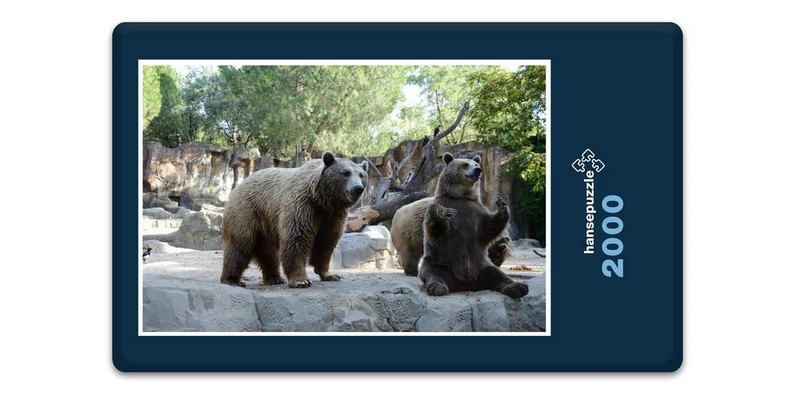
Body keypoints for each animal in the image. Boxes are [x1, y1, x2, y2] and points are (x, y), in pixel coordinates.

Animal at [219, 151, 369, 289]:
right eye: (346, 173)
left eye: (361, 175)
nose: (358, 188)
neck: (322, 199)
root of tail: (239, 186)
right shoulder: (302, 205)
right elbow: (297, 238)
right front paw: (301, 281)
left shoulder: (333, 215)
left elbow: (326, 242)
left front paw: (330, 275)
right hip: (247, 211)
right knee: (240, 245)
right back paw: (232, 280)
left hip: (266, 221)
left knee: (268, 252)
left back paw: (274, 278)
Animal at [417, 153, 528, 299]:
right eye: (465, 164)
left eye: (476, 164)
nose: (478, 170)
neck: (461, 196)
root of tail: (467, 285)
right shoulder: (446, 205)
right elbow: (436, 230)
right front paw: (442, 214)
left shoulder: (476, 211)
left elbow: (488, 228)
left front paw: (502, 206)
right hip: (440, 262)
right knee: (433, 273)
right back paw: (436, 287)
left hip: (482, 265)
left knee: (498, 275)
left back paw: (519, 287)